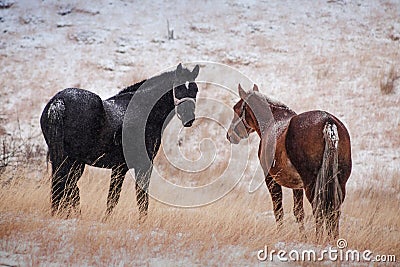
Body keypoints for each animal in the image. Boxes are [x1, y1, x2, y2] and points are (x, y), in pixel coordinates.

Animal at [40, 63, 200, 223]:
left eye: (195, 89)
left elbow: (113, 198)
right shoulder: (142, 165)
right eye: (178, 88)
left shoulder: (119, 168)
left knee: (66, 187)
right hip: (73, 161)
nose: (188, 118)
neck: (143, 112)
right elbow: (138, 198)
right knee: (67, 187)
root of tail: (59, 101)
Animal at [227, 84, 352, 243]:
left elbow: (278, 210)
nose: (230, 135)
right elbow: (298, 212)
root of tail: (327, 121)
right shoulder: (297, 186)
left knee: (319, 209)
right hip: (339, 183)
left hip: (312, 184)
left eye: (236, 109)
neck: (273, 122)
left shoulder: (271, 179)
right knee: (334, 211)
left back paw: (318, 240)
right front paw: (303, 237)